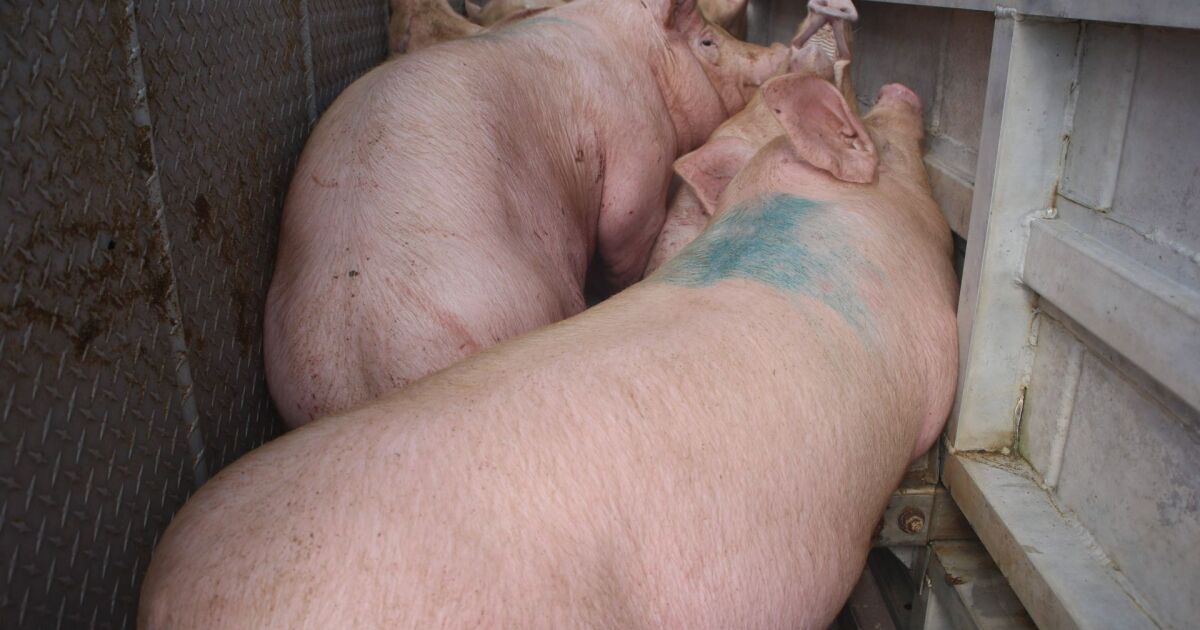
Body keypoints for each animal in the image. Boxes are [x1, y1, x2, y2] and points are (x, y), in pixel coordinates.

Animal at [266, 0, 853, 428]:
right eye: (707, 42)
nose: (778, 49)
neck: (639, 54)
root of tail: (368, 367)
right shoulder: (638, 149)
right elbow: (622, 230)